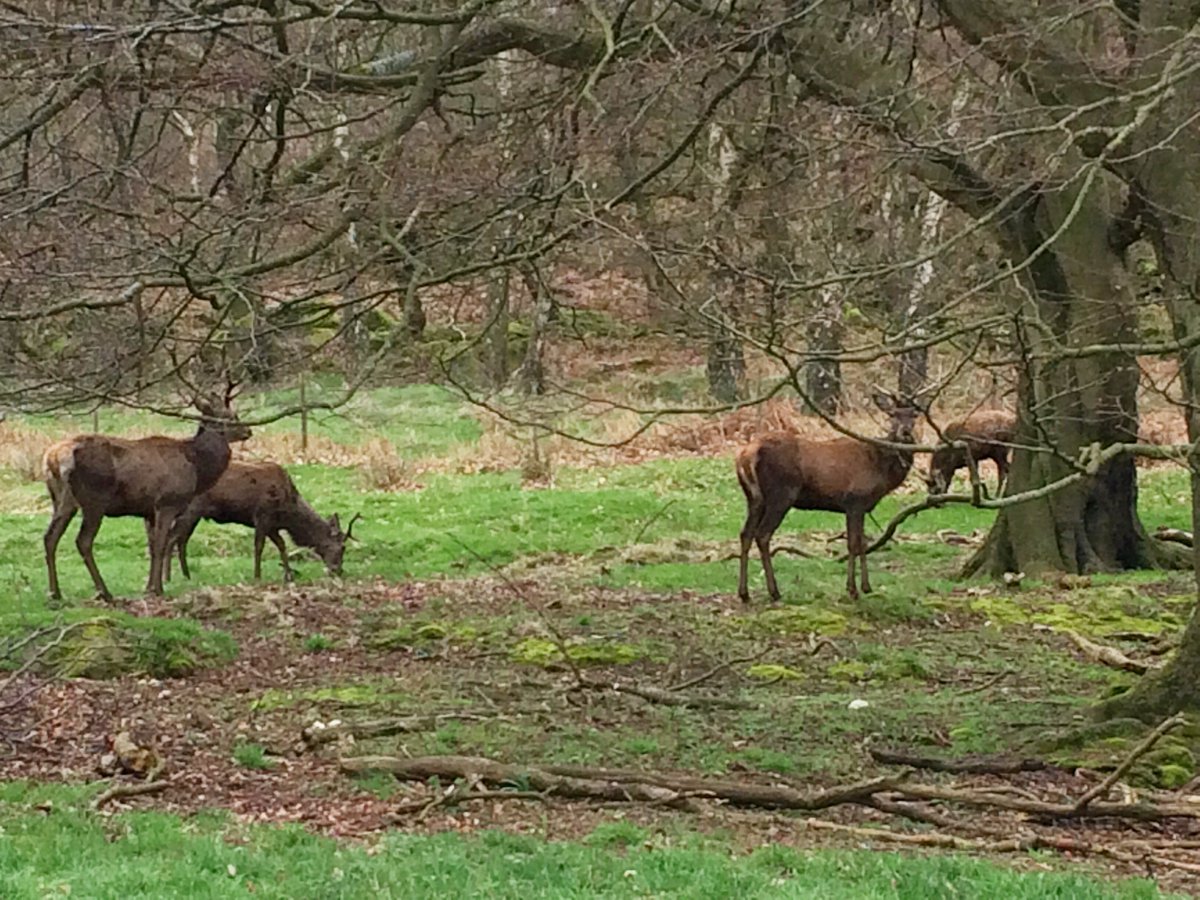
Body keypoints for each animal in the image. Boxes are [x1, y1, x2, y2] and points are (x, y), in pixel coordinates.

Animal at [43, 385, 251, 602]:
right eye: (230, 416)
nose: (248, 430)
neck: (196, 466)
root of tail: (54, 457)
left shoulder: (147, 511)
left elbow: (151, 547)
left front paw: (149, 587)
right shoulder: (167, 503)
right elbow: (161, 544)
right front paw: (158, 589)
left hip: (61, 499)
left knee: (50, 537)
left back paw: (55, 592)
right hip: (94, 499)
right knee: (83, 541)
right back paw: (104, 592)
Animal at [166, 460, 358, 582]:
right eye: (342, 548)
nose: (338, 570)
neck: (288, 514)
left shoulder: (272, 525)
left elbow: (281, 545)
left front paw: (288, 575)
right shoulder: (262, 517)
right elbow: (259, 547)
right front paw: (257, 576)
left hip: (194, 514)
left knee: (181, 540)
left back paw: (186, 575)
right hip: (191, 510)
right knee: (172, 538)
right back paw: (167, 578)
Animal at [736, 392, 921, 602]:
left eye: (914, 415)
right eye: (892, 415)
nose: (905, 431)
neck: (881, 468)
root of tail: (747, 453)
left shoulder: (862, 506)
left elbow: (863, 542)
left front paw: (866, 587)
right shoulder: (855, 500)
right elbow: (853, 543)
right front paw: (853, 589)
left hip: (754, 499)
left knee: (746, 533)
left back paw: (744, 593)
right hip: (781, 494)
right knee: (762, 534)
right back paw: (774, 591)